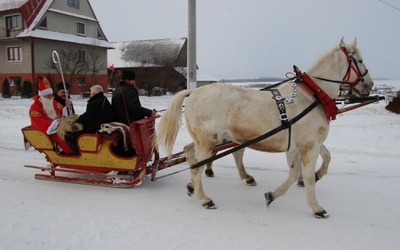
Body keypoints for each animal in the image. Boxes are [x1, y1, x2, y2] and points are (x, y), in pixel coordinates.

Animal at [155, 38, 372, 218]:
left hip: (207, 141)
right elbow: (308, 177)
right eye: (360, 60)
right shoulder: (309, 146)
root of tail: (193, 92)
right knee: (197, 166)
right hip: (208, 142)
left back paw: (194, 188)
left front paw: (272, 195)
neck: (312, 95)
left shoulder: (299, 146)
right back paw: (205, 199)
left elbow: (303, 170)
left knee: (190, 154)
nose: (369, 85)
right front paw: (317, 207)